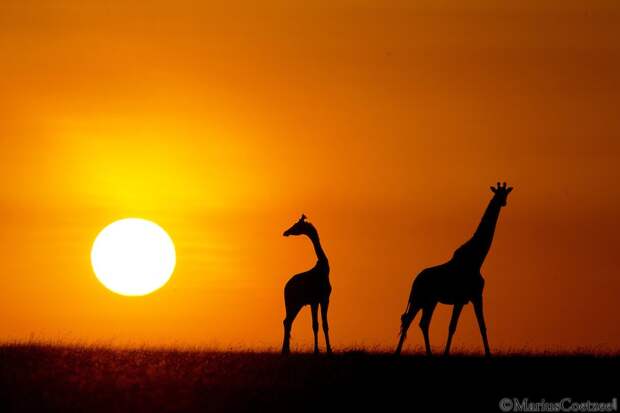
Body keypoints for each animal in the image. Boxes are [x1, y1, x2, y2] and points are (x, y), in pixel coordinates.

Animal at [280, 214, 332, 352]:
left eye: (296, 225)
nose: (285, 232)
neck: (324, 269)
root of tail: (285, 287)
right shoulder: (314, 301)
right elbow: (315, 325)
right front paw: (317, 351)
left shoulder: (324, 299)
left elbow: (324, 324)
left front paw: (329, 350)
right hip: (292, 302)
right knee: (287, 321)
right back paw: (285, 350)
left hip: (296, 304)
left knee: (287, 321)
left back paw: (286, 350)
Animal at [398, 182, 512, 356]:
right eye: (497, 194)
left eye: (505, 193)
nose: (503, 202)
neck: (477, 260)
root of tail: (415, 281)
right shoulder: (467, 297)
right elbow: (458, 326)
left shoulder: (471, 298)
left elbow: (476, 326)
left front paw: (487, 353)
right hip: (421, 299)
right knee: (410, 321)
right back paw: (400, 352)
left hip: (429, 301)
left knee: (421, 322)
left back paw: (427, 353)